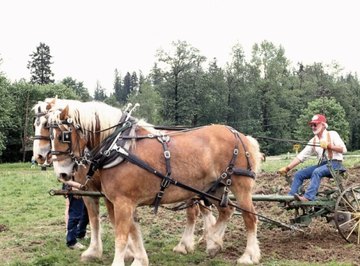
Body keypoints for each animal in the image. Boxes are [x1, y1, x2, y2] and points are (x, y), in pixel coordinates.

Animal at [47, 103, 262, 264]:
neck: (118, 147)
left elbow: (121, 235)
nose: (63, 173)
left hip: (240, 186)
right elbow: (133, 231)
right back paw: (213, 242)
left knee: (250, 218)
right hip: (215, 187)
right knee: (226, 211)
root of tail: (242, 136)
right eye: (49, 135)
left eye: (63, 136)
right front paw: (139, 259)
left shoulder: (123, 202)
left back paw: (247, 255)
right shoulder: (122, 202)